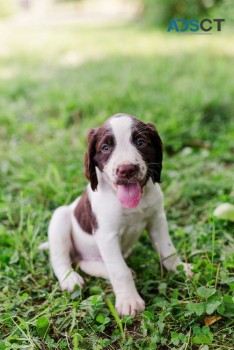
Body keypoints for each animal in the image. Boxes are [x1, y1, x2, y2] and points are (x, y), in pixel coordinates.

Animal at [44, 113, 191, 316]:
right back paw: (70, 279)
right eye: (105, 148)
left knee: (86, 264)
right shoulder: (107, 235)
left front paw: (179, 269)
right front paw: (129, 301)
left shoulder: (157, 220)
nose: (126, 169)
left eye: (140, 142)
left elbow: (168, 249)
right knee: (61, 259)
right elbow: (119, 270)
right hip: (60, 218)